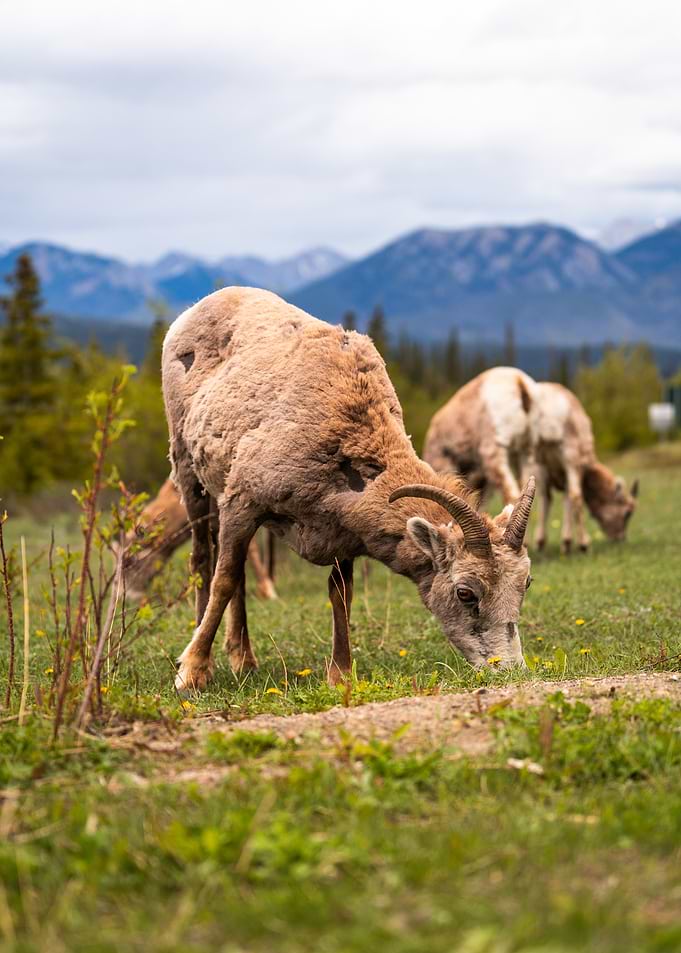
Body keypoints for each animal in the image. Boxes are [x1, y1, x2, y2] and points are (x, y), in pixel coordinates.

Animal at [531, 382, 638, 552]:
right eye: (628, 512)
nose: (620, 538)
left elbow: (556, 499)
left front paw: (555, 542)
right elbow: (570, 498)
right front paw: (568, 543)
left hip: (539, 460)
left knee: (545, 496)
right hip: (571, 456)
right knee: (575, 495)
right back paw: (584, 544)